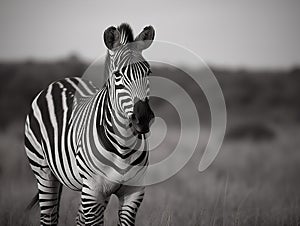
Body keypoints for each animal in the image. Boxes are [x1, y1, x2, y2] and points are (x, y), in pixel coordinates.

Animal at [24, 23, 156, 225]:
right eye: (118, 75)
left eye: (148, 72)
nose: (143, 119)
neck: (123, 146)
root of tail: (61, 81)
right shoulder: (93, 191)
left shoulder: (133, 193)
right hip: (44, 172)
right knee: (48, 217)